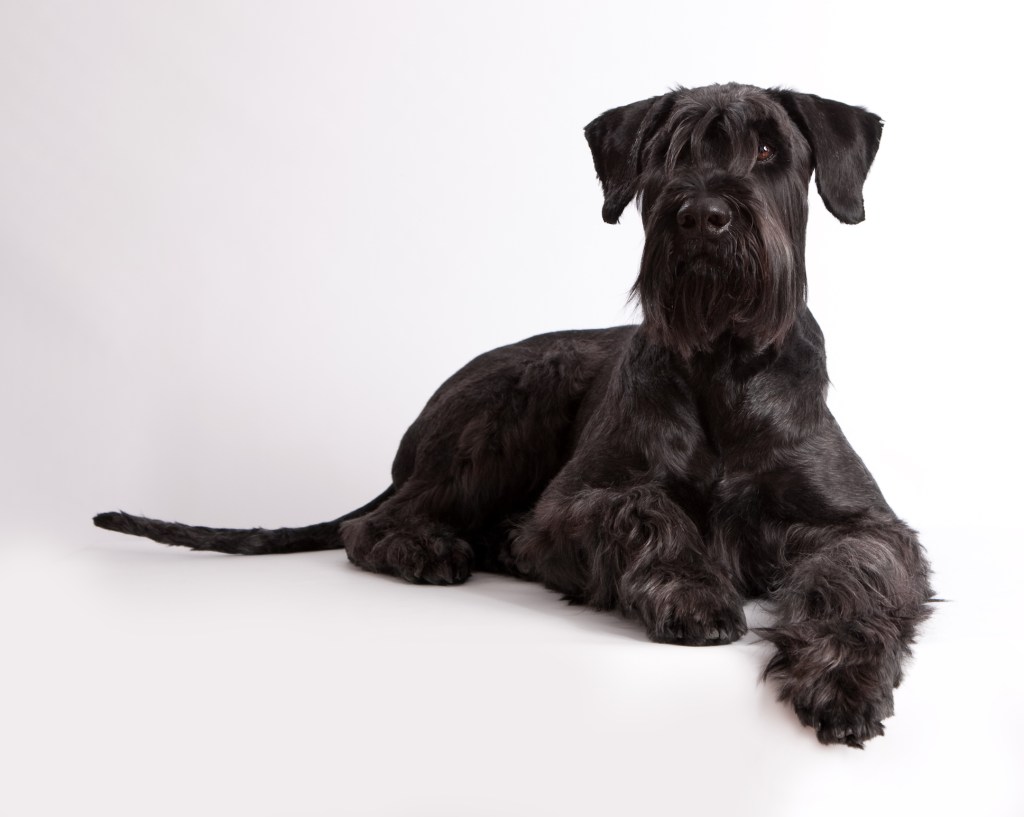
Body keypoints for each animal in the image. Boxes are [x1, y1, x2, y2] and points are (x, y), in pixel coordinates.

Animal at [97, 82, 937, 749]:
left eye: (768, 148)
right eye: (666, 155)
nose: (703, 215)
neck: (723, 361)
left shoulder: (863, 521)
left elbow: (856, 572)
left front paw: (844, 678)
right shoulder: (571, 502)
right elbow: (645, 509)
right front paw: (693, 590)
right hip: (517, 400)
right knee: (368, 525)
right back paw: (428, 549)